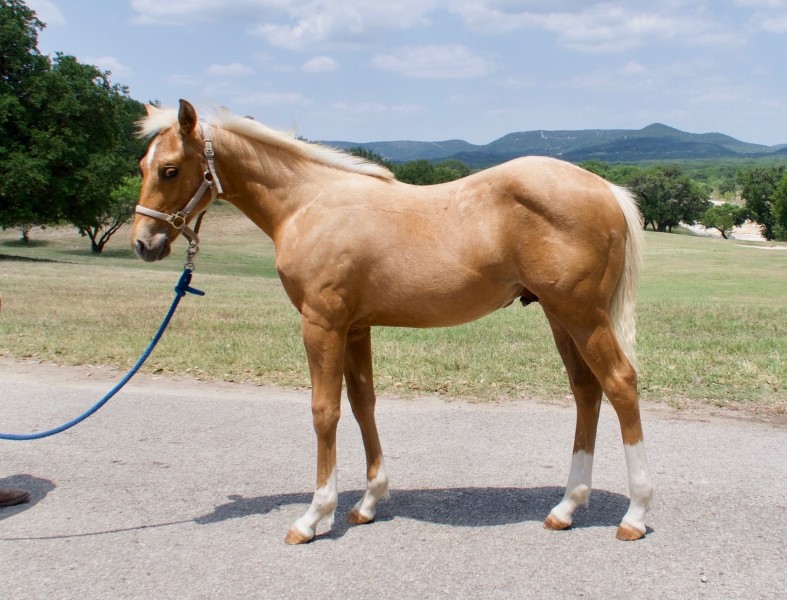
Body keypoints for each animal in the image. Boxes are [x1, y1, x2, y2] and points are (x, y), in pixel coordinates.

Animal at [134, 99, 652, 544]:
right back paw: (566, 507)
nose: (144, 242)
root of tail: (606, 189)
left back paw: (635, 513)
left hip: (581, 315)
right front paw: (367, 502)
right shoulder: (355, 327)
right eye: (142, 166)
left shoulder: (322, 324)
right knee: (587, 391)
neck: (309, 204)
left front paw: (313, 516)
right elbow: (363, 403)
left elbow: (325, 411)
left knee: (620, 383)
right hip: (559, 316)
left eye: (169, 169)